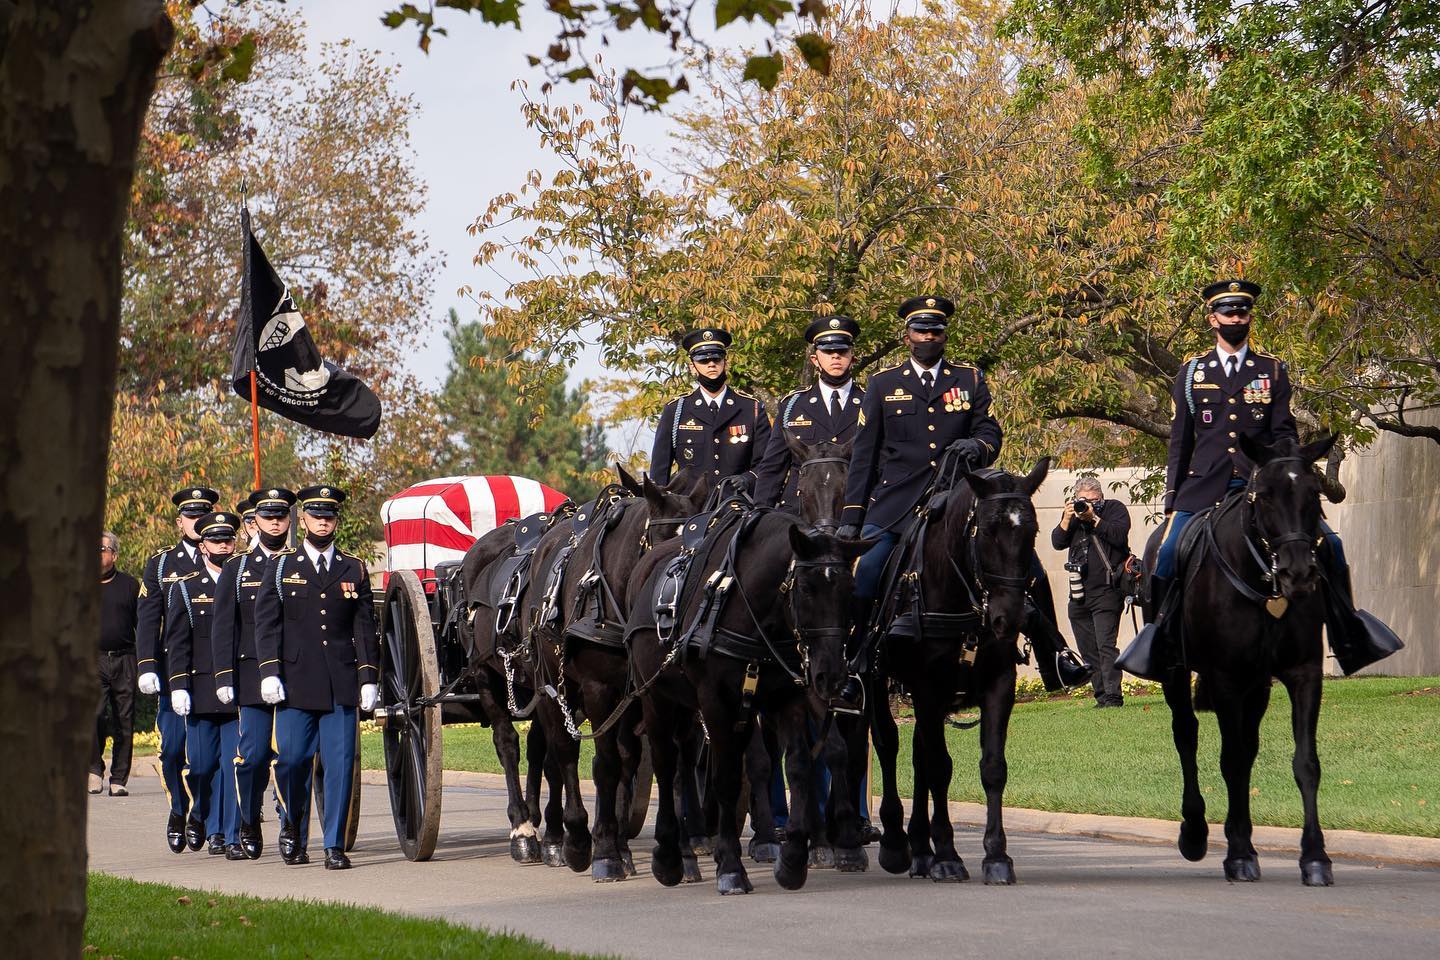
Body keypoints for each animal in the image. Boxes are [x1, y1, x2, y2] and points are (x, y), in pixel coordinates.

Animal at [864, 457, 1048, 886]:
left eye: (1031, 531)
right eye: (988, 530)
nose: (1008, 618)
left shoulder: (999, 684)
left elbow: (992, 767)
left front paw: (996, 855)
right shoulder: (926, 687)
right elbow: (939, 767)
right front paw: (947, 855)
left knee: (916, 754)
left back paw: (919, 849)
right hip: (875, 682)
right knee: (888, 744)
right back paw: (896, 844)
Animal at [1157, 434, 1336, 886]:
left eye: (1314, 495)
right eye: (1265, 496)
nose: (1298, 573)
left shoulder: (1304, 673)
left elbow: (1305, 762)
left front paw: (1315, 857)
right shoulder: (1226, 679)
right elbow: (1231, 760)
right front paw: (1238, 854)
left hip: (1258, 686)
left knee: (1248, 746)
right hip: (1174, 672)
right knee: (1186, 734)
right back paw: (1196, 831)